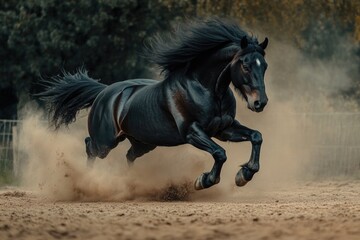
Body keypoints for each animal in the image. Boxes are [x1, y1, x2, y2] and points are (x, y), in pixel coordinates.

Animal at [37, 18, 268, 190]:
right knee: (90, 146)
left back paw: (131, 184)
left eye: (264, 65)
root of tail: (103, 92)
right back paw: (87, 179)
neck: (207, 89)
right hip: (106, 141)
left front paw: (244, 174)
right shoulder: (192, 132)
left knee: (129, 155)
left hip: (143, 143)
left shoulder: (223, 129)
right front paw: (204, 181)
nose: (260, 103)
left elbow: (256, 136)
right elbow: (220, 153)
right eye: (245, 65)